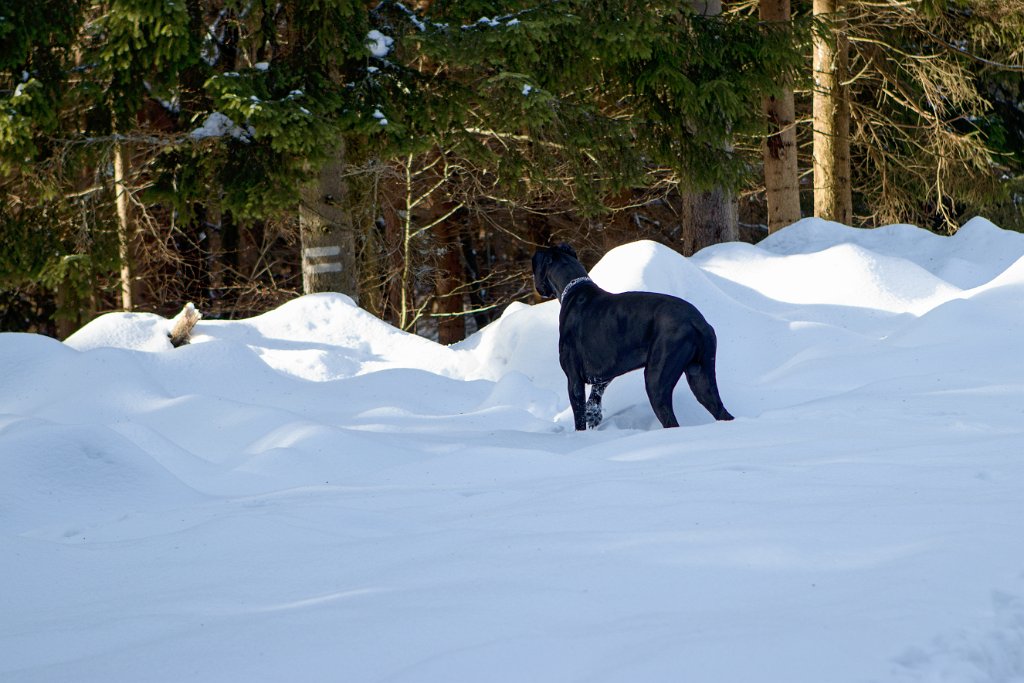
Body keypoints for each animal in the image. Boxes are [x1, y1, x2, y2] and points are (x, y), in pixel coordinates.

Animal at [532, 242, 733, 430]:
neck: (573, 288)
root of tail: (696, 321)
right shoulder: (605, 372)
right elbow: (594, 399)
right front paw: (593, 415)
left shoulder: (574, 380)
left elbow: (579, 418)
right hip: (701, 377)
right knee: (721, 411)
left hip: (656, 380)